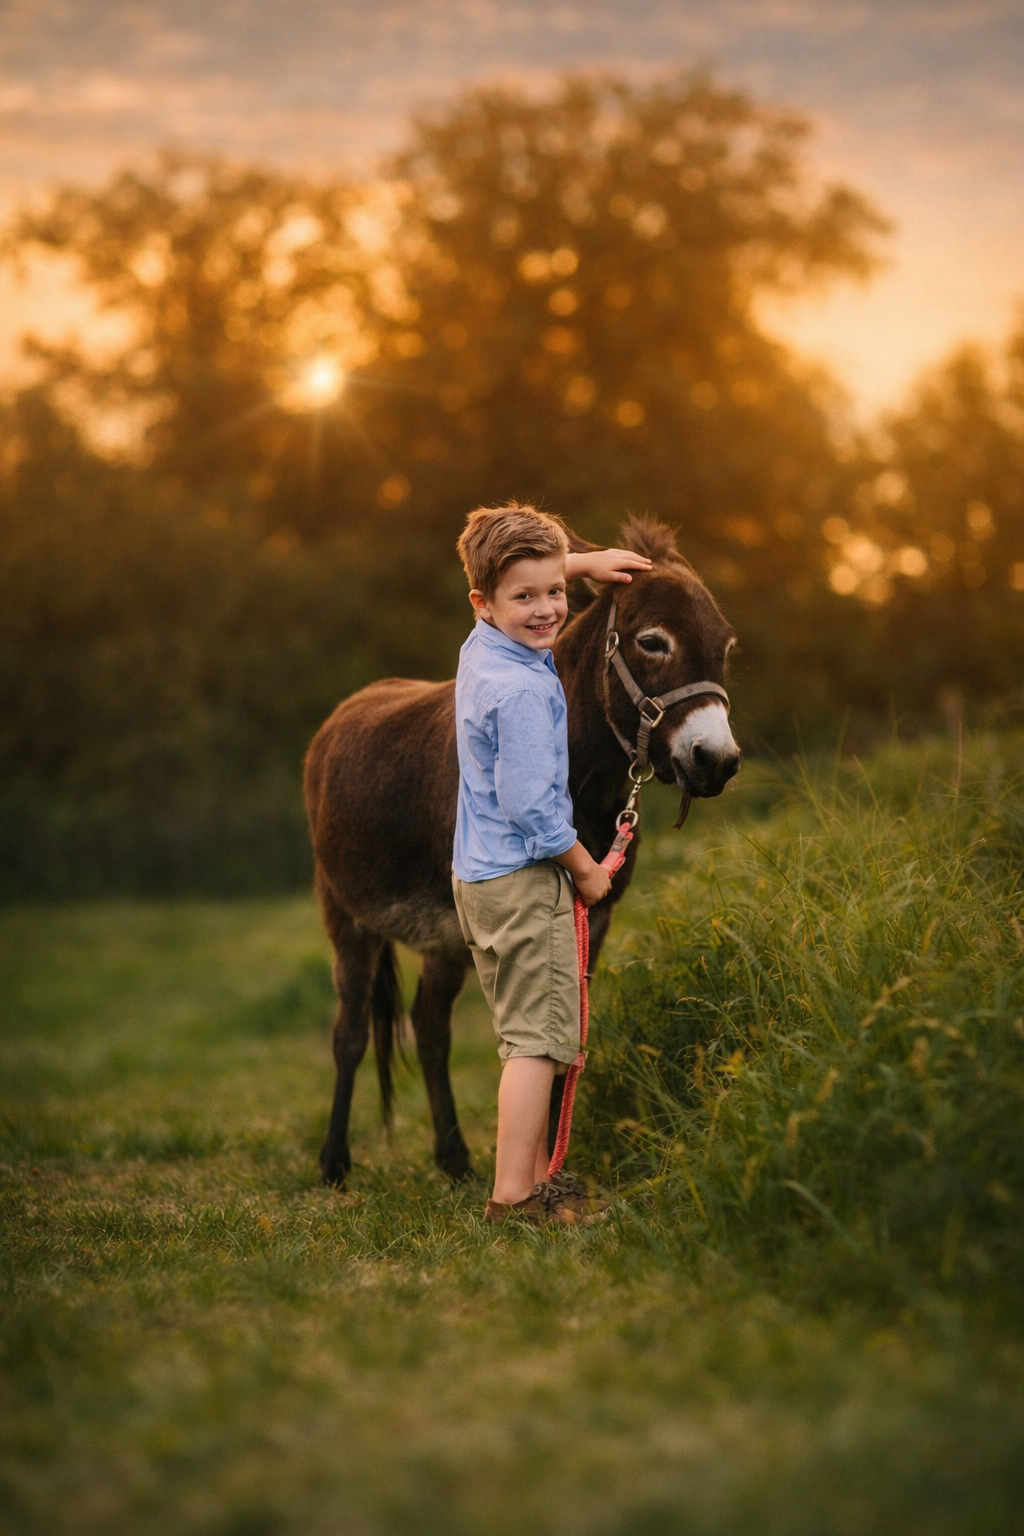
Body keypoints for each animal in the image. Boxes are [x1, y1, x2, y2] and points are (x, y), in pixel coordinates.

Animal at [304, 518, 740, 1187]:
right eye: (652, 642)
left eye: (726, 647)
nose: (716, 761)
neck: (586, 784)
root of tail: (346, 711)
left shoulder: (595, 918)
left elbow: (567, 1041)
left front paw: (550, 1166)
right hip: (349, 914)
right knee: (350, 1031)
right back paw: (335, 1163)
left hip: (440, 935)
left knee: (429, 1027)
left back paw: (454, 1160)